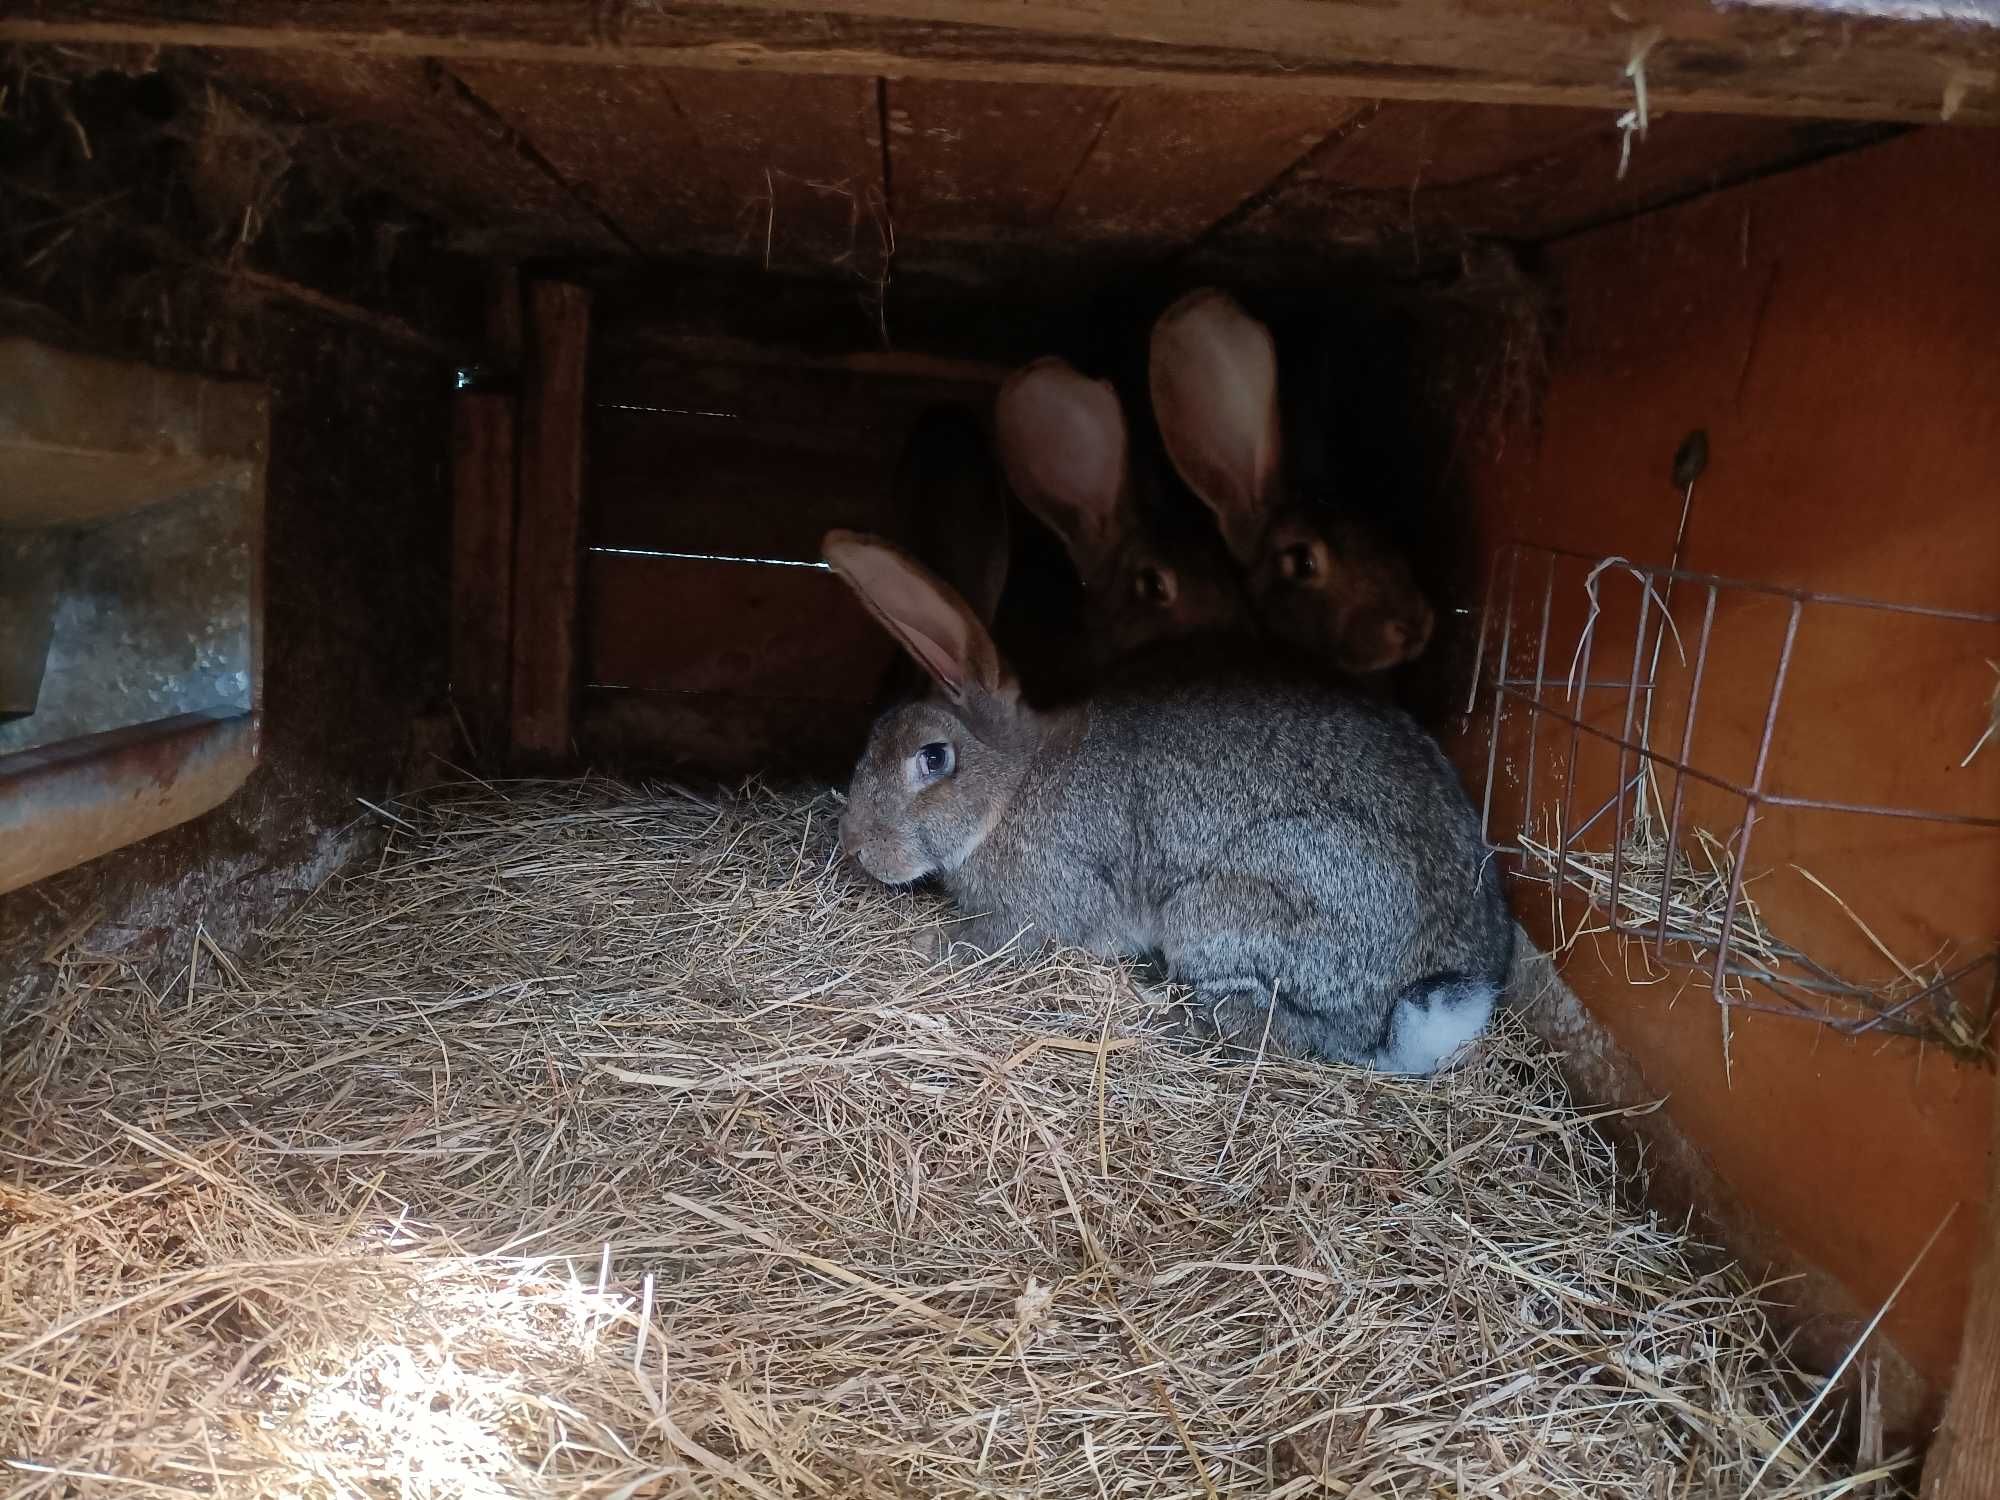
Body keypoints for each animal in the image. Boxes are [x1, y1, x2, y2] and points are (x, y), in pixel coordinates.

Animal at [820, 536, 1504, 1072]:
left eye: (933, 758)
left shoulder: (1040, 902)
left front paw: (926, 945)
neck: (1011, 788)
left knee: (1261, 1029)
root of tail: (1407, 1012)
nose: (852, 843)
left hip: (1231, 909)